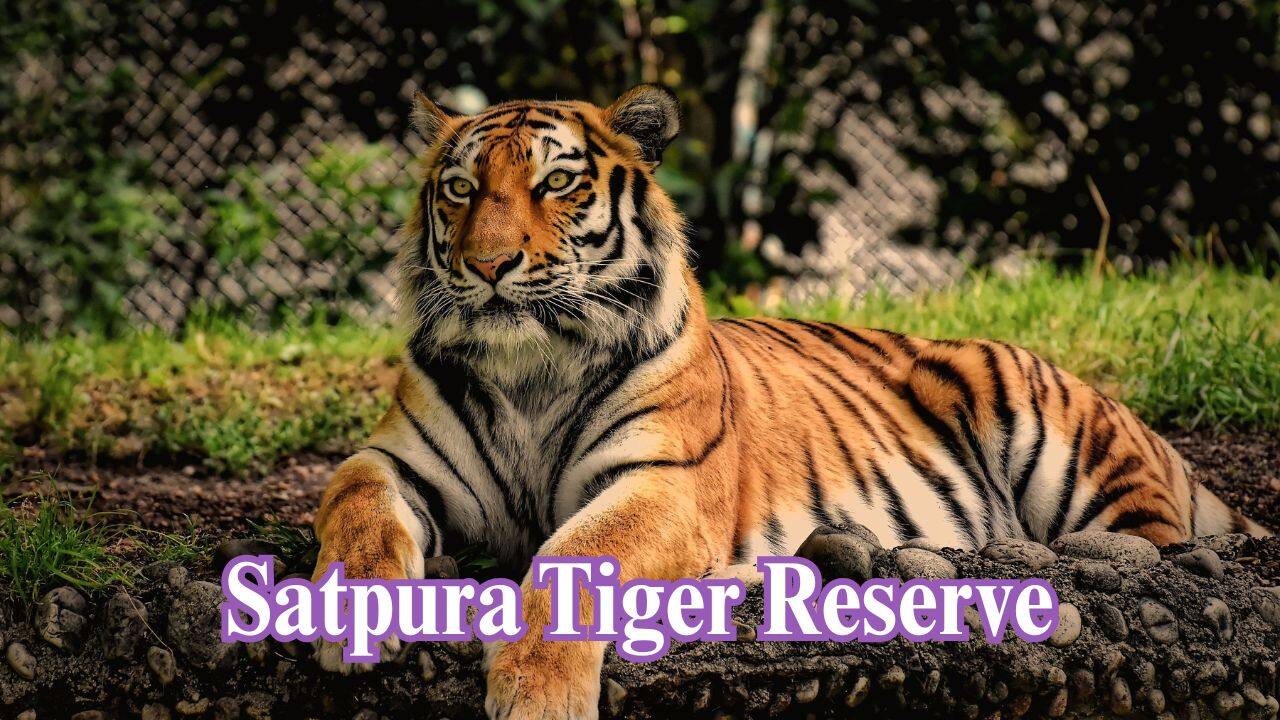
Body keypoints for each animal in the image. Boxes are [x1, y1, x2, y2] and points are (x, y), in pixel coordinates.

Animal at [311, 84, 1272, 720]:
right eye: (462, 188)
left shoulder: (663, 481)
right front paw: (353, 621)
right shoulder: (392, 459)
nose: (487, 265)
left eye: (556, 184)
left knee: (1149, 545)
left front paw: (535, 694)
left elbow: (575, 557)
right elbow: (356, 508)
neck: (529, 369)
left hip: (1068, 446)